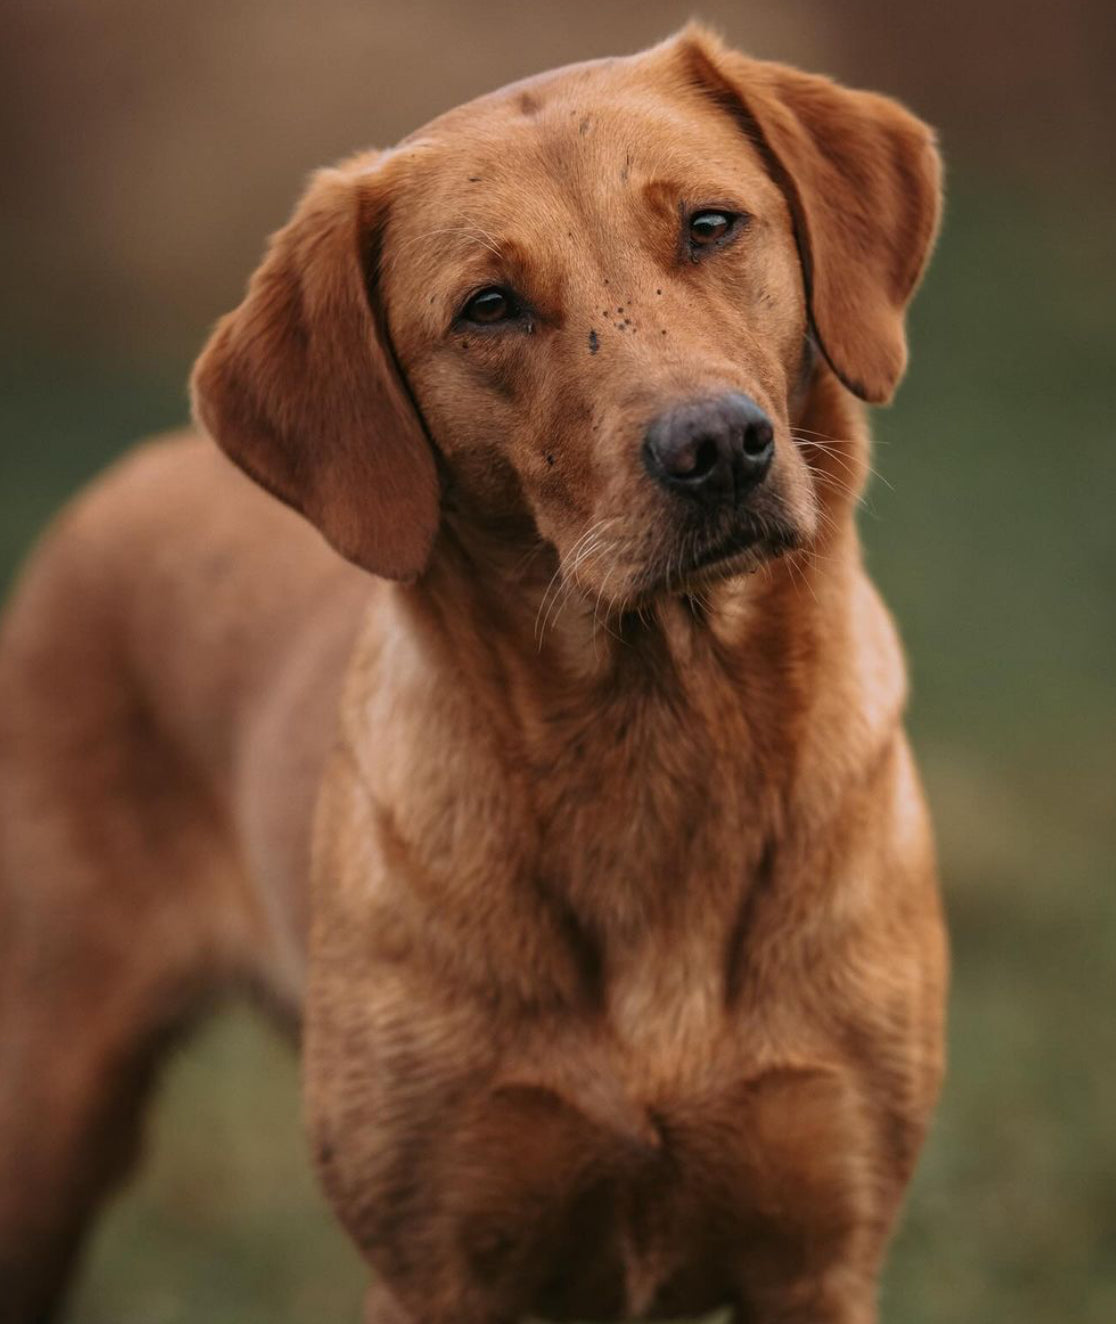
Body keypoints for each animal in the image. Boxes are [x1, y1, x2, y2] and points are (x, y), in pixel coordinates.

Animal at [0, 23, 947, 1324]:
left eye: (711, 225)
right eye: (489, 307)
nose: (717, 447)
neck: (661, 738)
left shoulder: (818, 1256)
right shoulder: (439, 1265)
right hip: (46, 1110)